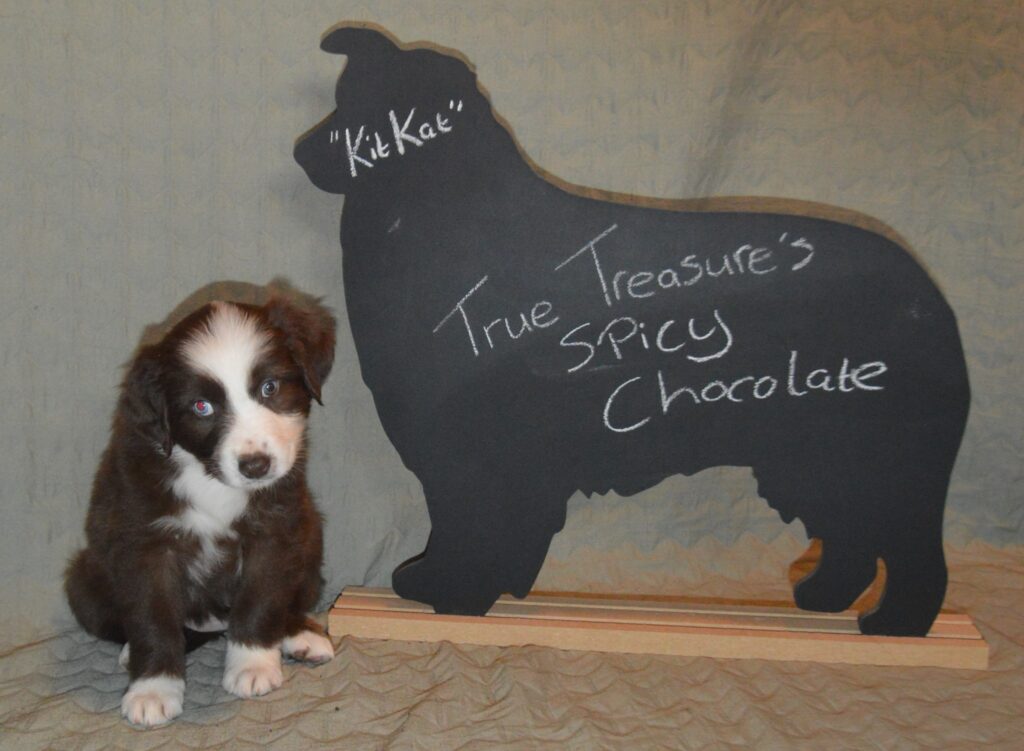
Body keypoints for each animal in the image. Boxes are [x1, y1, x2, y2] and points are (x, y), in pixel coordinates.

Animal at [65, 295, 336, 727]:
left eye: (270, 387)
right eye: (201, 406)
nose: (255, 466)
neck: (210, 479)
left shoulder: (275, 530)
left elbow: (262, 597)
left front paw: (252, 665)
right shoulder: (145, 543)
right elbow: (153, 617)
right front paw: (154, 688)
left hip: (310, 542)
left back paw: (301, 635)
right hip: (84, 582)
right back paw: (131, 654)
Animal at [294, 23, 970, 636]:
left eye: (355, 111)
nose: (301, 152)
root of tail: (931, 299)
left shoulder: (477, 452)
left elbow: (474, 528)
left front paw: (456, 596)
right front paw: (439, 585)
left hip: (871, 458)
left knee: (912, 552)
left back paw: (898, 626)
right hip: (813, 463)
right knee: (851, 539)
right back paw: (825, 600)